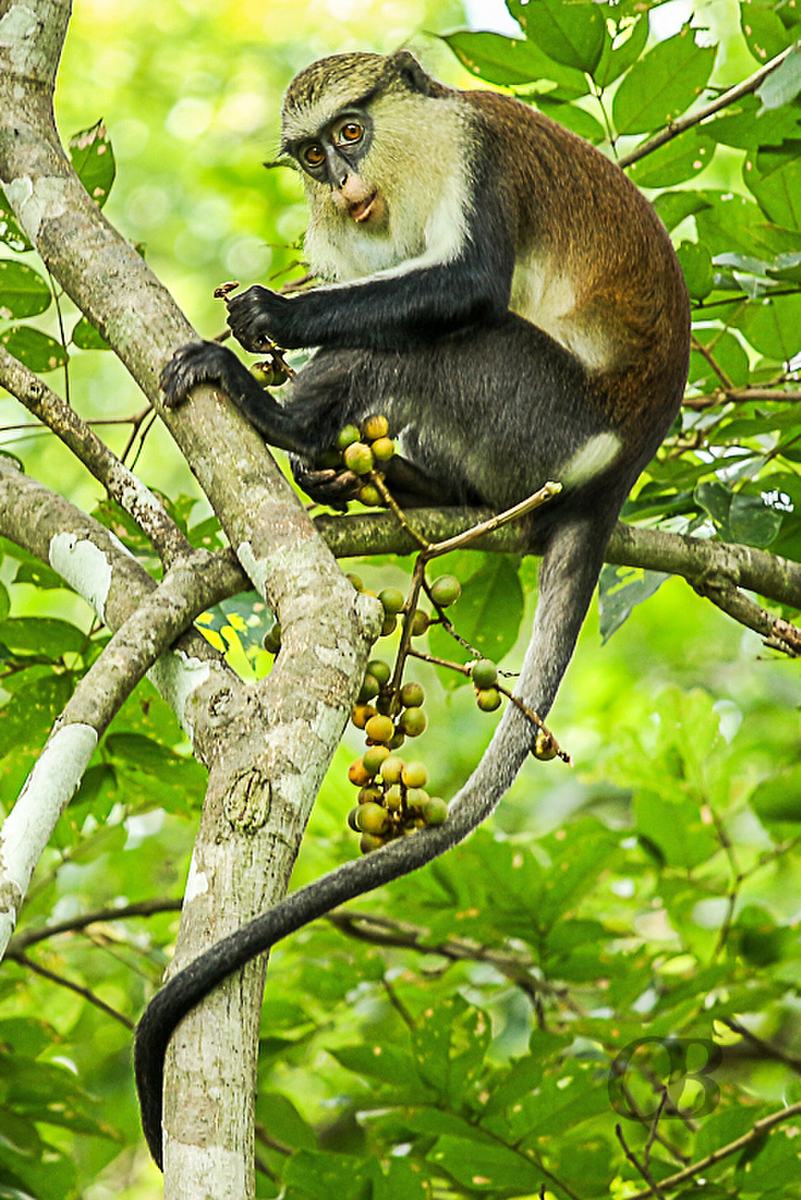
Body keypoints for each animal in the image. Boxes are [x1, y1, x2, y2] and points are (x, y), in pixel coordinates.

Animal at [136, 49, 690, 1167]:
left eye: (351, 132)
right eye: (311, 155)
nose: (343, 180)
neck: (407, 155)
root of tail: (616, 469)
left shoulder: (482, 159)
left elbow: (464, 286)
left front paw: (270, 322)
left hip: (535, 414)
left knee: (447, 338)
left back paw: (280, 419)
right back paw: (368, 473)